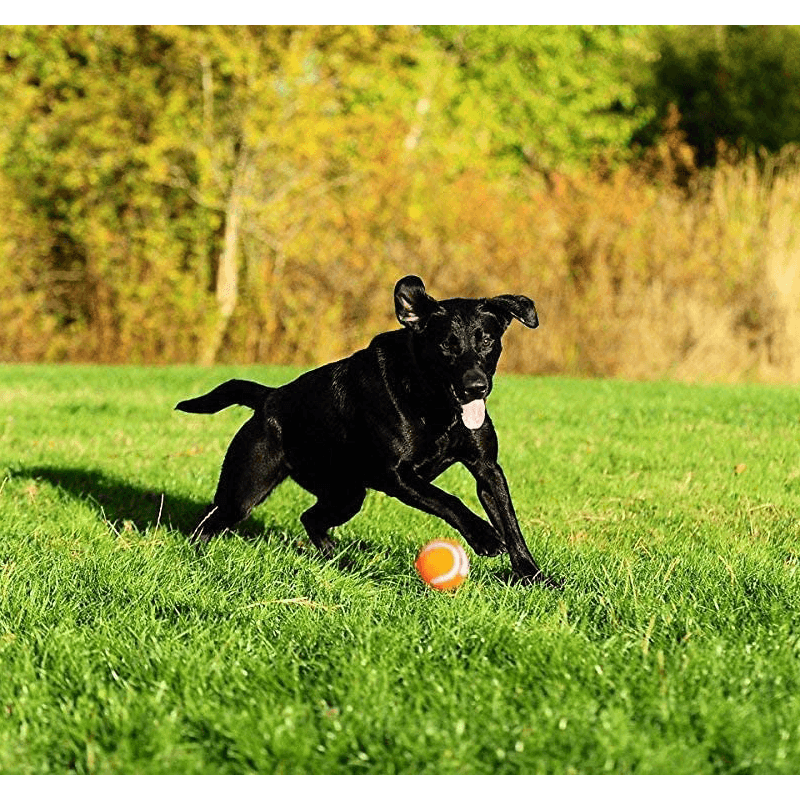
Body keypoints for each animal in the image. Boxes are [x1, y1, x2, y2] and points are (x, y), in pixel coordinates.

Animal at [177, 278, 556, 584]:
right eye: (446, 345)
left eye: (487, 340)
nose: (475, 387)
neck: (434, 404)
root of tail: (270, 397)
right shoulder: (398, 476)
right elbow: (449, 499)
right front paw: (485, 538)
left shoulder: (487, 470)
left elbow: (510, 523)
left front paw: (534, 577)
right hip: (244, 491)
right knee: (208, 521)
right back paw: (197, 558)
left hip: (347, 494)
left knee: (310, 517)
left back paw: (336, 558)